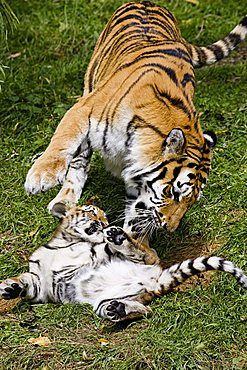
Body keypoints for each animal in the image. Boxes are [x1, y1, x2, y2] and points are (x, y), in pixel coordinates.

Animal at [23, 0, 247, 237]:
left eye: (193, 200)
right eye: (174, 192)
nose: (170, 228)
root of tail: (147, 2)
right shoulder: (84, 109)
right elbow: (62, 141)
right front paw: (41, 176)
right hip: (89, 86)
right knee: (79, 159)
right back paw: (63, 201)